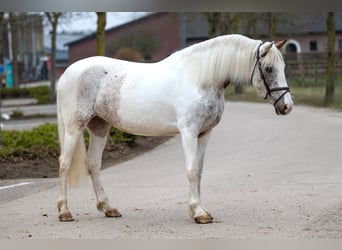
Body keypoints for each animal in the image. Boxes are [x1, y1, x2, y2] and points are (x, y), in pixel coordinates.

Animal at [56, 34, 294, 224]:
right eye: (269, 68)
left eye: (283, 68)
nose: (287, 106)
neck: (200, 78)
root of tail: (67, 74)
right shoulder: (188, 133)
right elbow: (191, 171)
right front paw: (198, 213)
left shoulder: (205, 134)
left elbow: (199, 172)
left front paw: (200, 210)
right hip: (74, 127)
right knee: (65, 163)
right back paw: (65, 211)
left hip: (100, 127)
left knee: (94, 164)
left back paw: (108, 208)